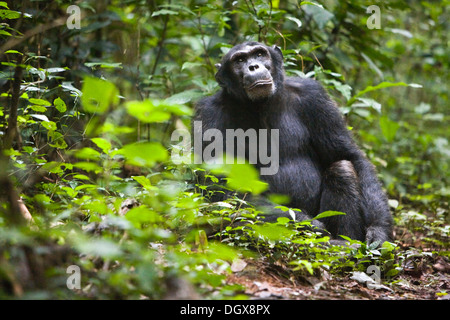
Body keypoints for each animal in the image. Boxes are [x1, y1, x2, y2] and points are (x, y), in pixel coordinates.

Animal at [193, 41, 394, 244]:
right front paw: (310, 225)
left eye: (259, 54)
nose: (253, 66)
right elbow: (221, 185)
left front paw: (379, 229)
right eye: (239, 60)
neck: (260, 105)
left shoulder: (315, 97)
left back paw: (346, 242)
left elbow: (348, 155)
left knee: (342, 168)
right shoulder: (209, 114)